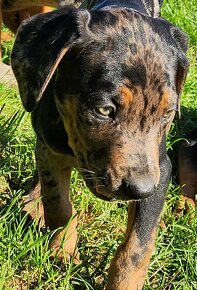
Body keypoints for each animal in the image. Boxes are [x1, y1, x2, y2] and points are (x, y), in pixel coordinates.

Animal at [10, 0, 189, 290]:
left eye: (167, 114)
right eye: (104, 110)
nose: (140, 190)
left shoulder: (161, 170)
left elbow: (136, 248)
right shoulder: (51, 149)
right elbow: (58, 204)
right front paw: (63, 249)